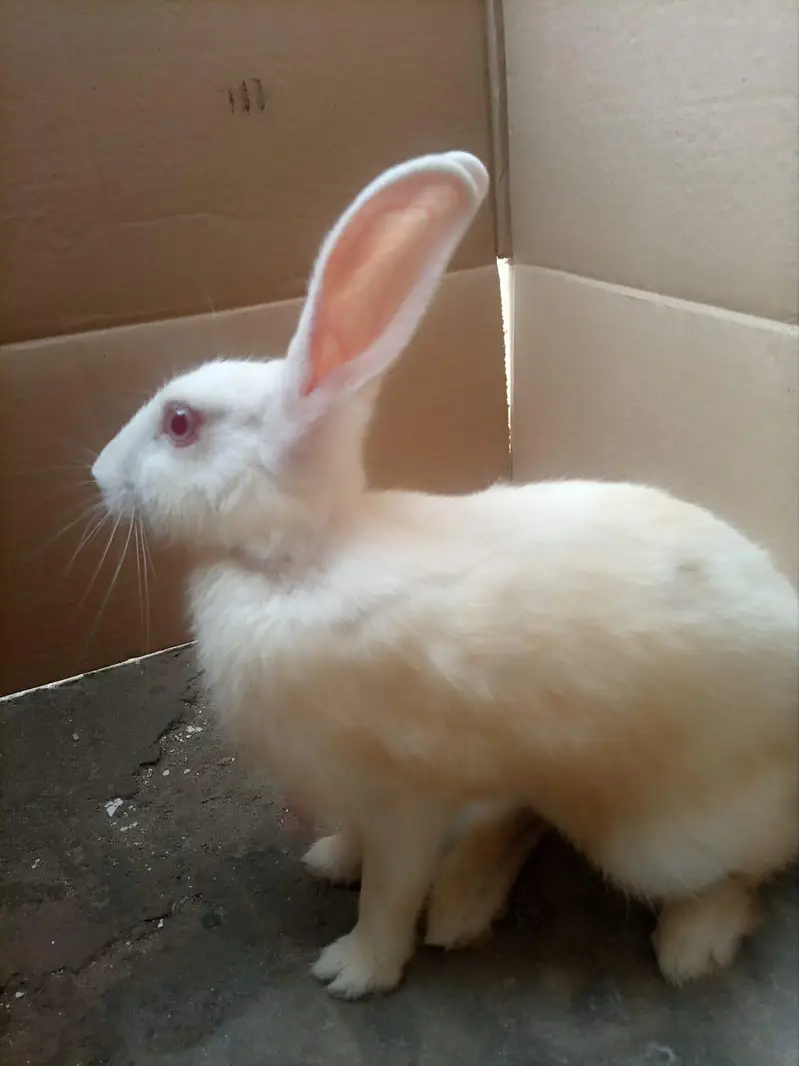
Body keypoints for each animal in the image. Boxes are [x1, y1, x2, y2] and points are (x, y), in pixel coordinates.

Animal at [92, 151, 799, 1000]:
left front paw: (356, 968)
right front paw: (330, 859)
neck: (302, 558)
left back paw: (689, 944)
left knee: (748, 868)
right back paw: (464, 903)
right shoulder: (362, 793)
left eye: (180, 424)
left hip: (657, 842)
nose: (98, 474)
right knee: (524, 815)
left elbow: (390, 890)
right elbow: (359, 845)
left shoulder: (405, 796)